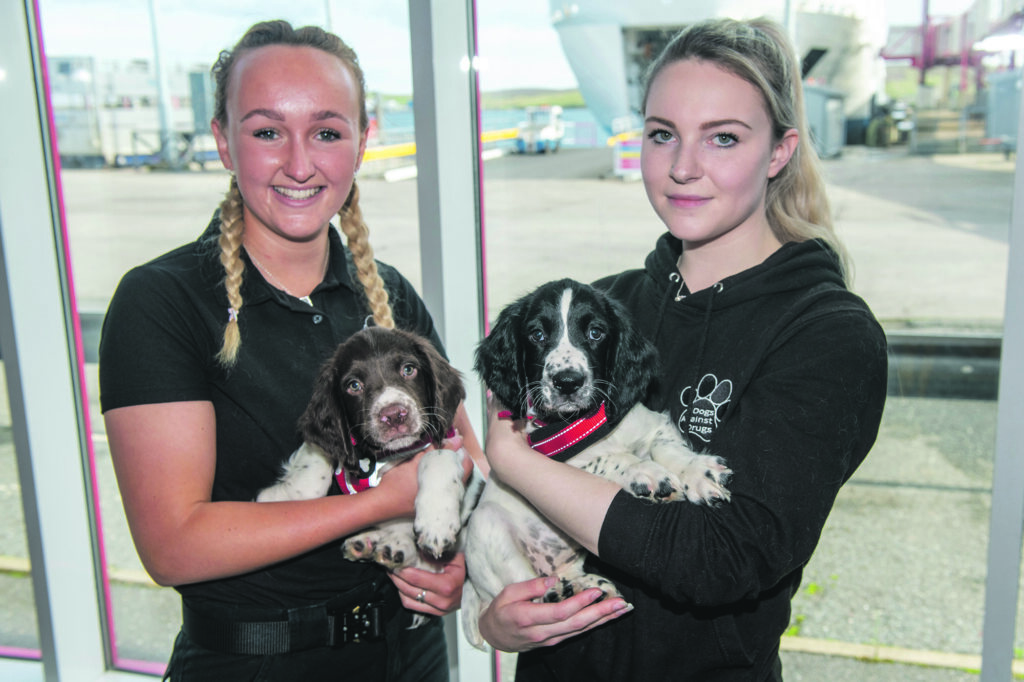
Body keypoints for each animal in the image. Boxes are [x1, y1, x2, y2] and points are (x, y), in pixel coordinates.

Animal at [460, 276, 733, 647]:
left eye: (595, 332)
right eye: (537, 334)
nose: (567, 382)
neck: (588, 421)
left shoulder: (652, 425)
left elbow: (668, 447)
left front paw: (697, 471)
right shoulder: (555, 460)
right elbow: (609, 457)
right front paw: (646, 473)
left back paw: (583, 585)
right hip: (487, 527)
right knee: (525, 586)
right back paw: (561, 593)